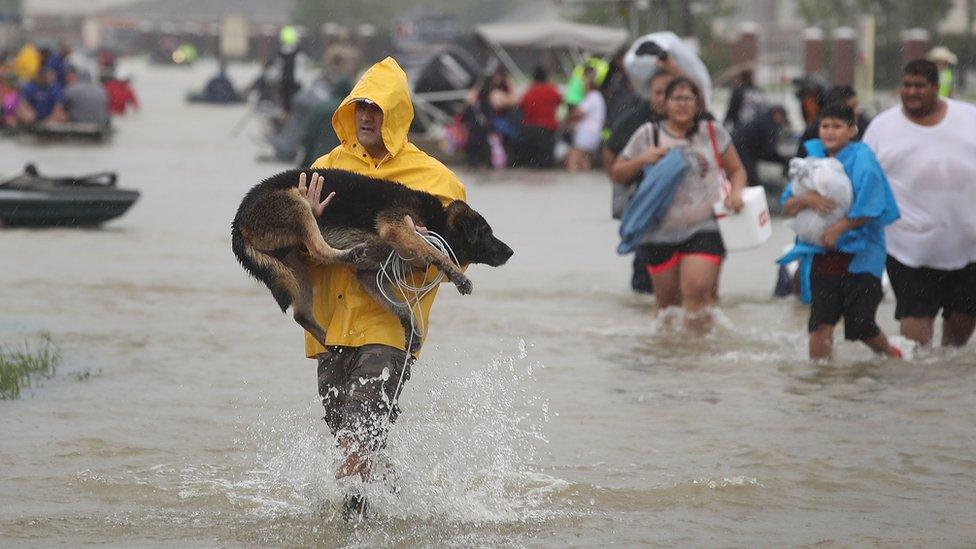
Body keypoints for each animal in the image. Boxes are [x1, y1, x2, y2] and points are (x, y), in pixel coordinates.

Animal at [232, 167, 516, 352]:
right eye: (486, 232)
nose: (511, 252)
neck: (438, 221)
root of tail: (238, 219)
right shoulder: (399, 228)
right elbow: (436, 252)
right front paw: (458, 276)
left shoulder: (370, 276)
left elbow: (401, 307)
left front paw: (411, 330)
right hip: (298, 204)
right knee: (317, 249)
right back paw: (348, 253)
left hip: (293, 261)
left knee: (301, 313)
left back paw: (329, 342)